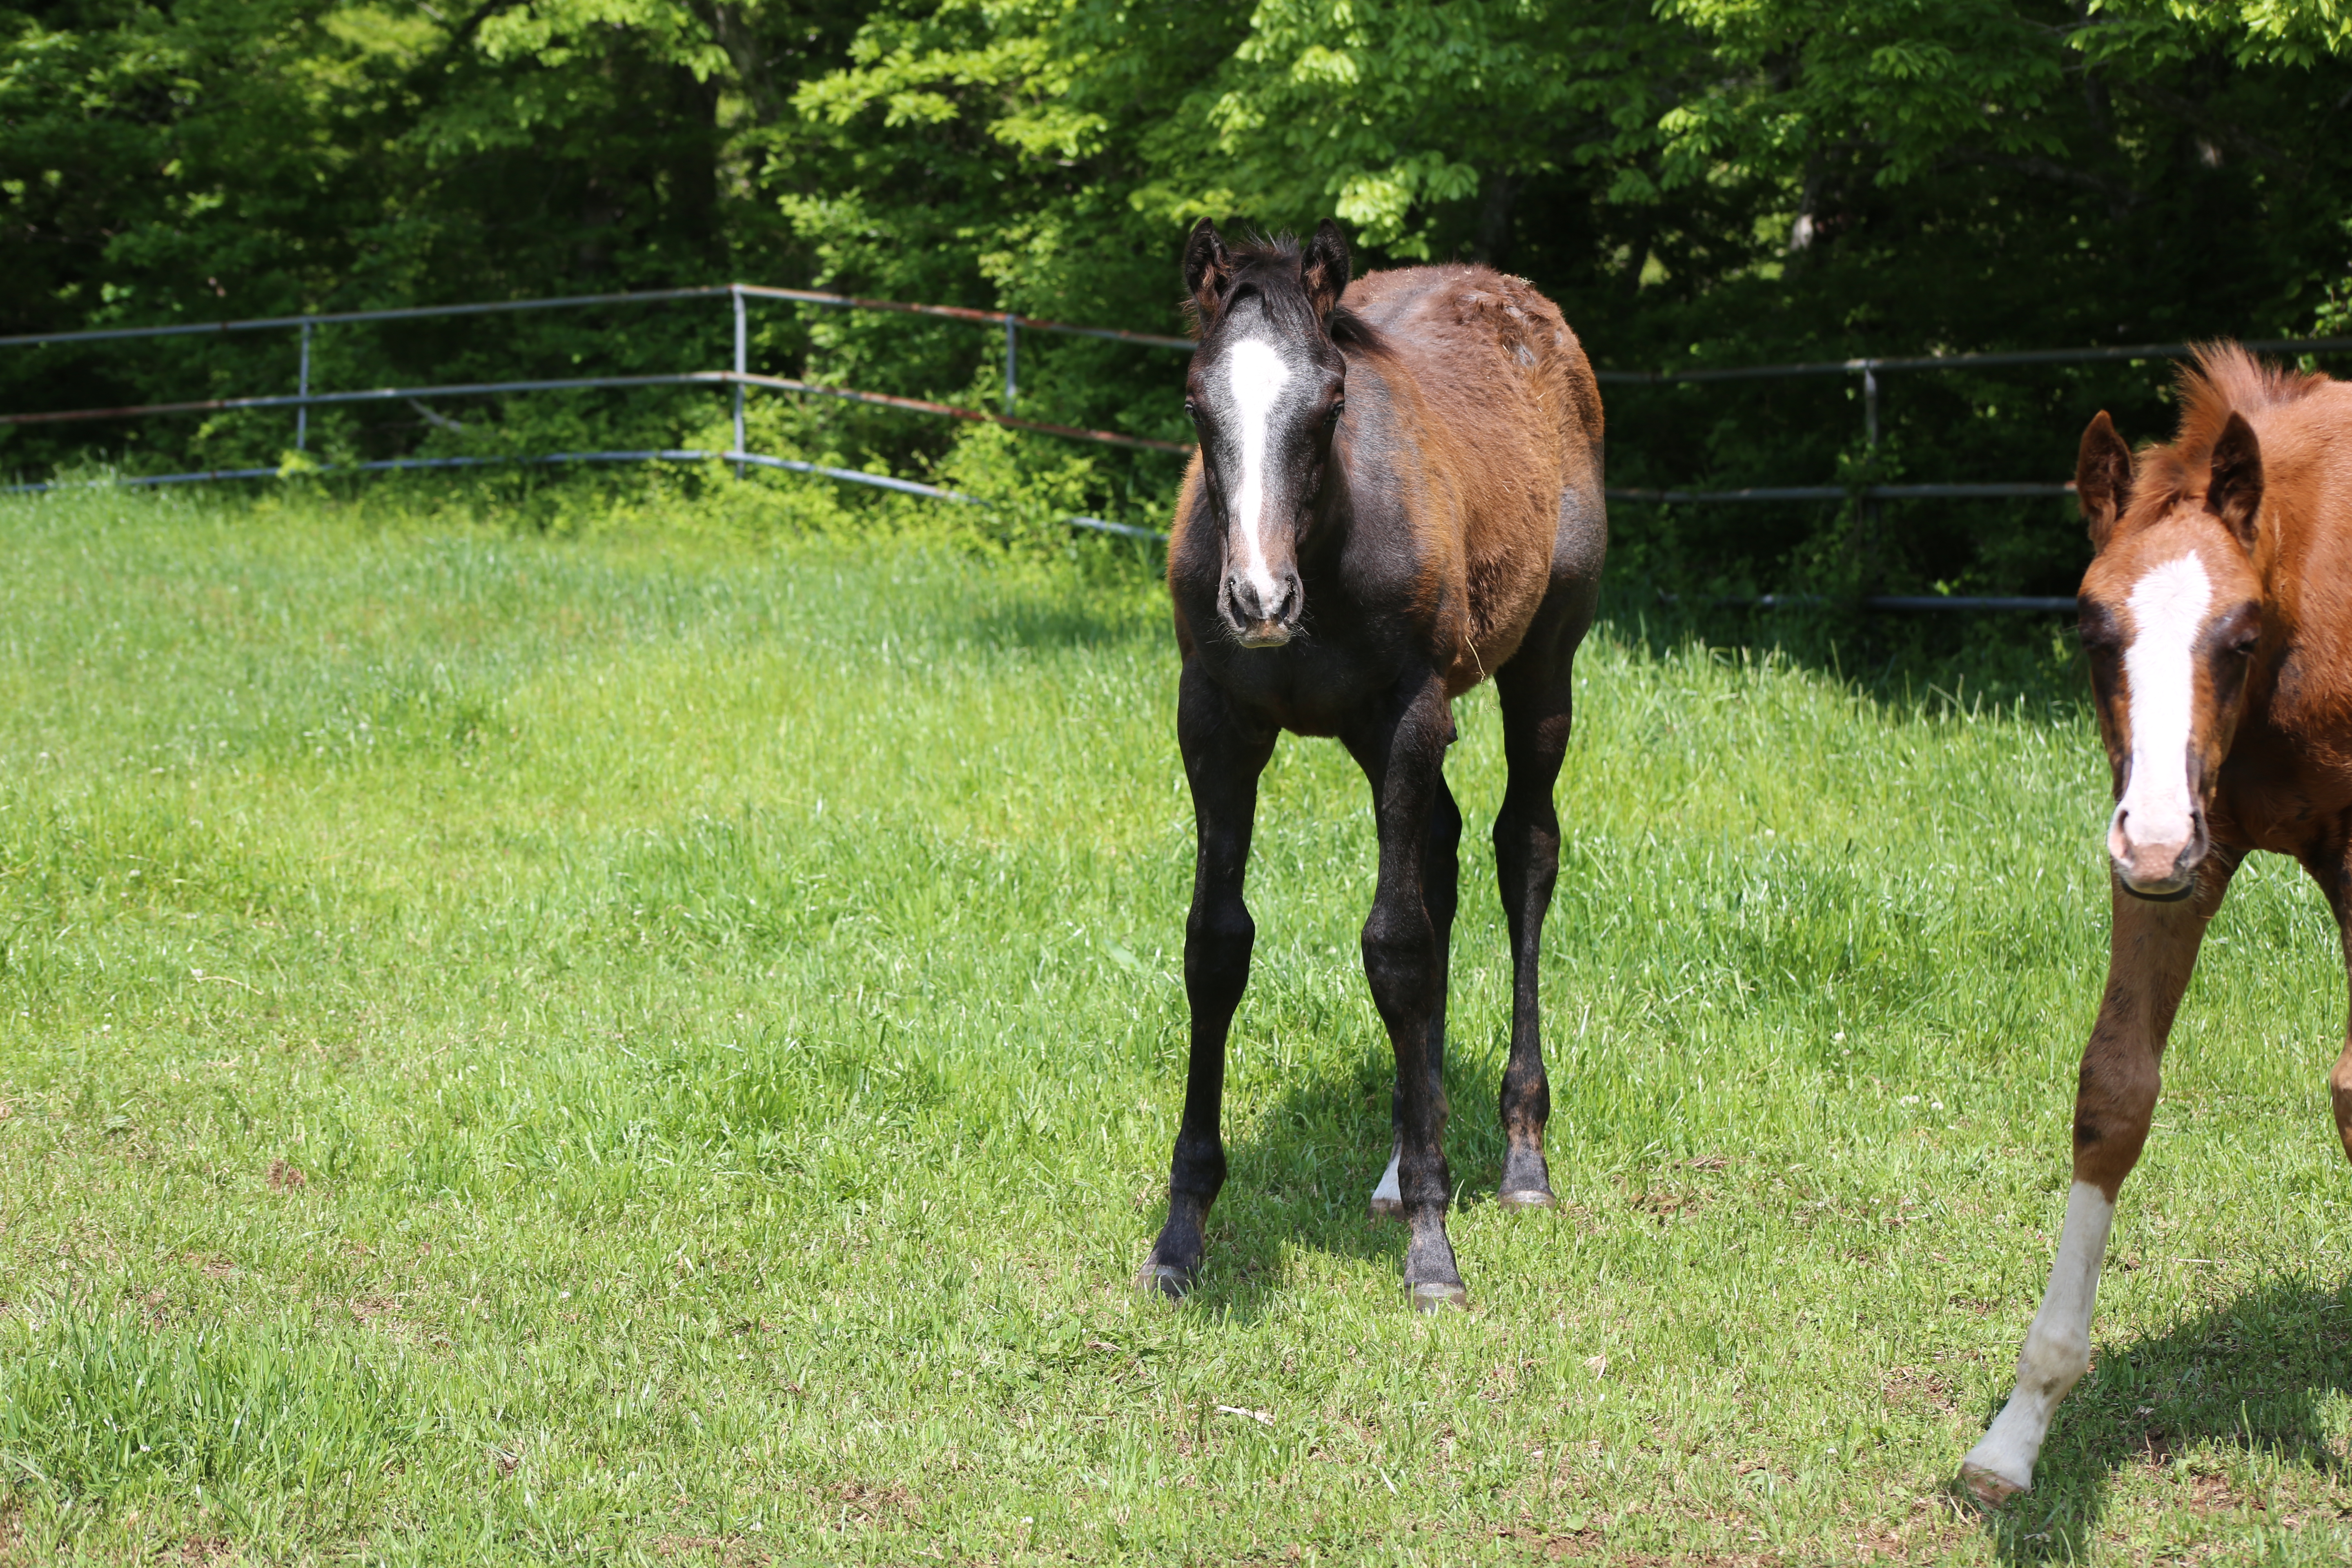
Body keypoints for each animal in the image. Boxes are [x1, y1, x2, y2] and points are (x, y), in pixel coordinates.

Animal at [1138, 221, 1618, 1316]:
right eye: (1196, 401)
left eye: (1328, 402)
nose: (1258, 601)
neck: (1325, 546)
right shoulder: (1216, 722)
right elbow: (1215, 947)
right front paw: (1181, 1237)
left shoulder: (1408, 714)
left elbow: (1395, 947)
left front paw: (1434, 1251)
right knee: (1439, 853)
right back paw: (1403, 1162)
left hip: (1540, 667)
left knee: (1522, 852)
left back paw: (1518, 1155)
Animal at [1966, 345, 2352, 1504]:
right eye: (2092, 628)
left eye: (2238, 634)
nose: (2148, 838)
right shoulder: (2188, 854)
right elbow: (2115, 1090)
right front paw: (2017, 1432)